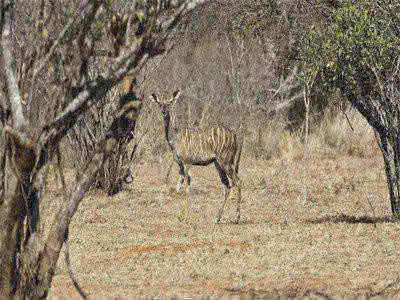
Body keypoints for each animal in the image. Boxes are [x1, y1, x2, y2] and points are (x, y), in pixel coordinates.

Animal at [151, 89, 242, 223]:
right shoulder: (180, 165)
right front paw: (180, 215)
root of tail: (235, 136)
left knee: (238, 181)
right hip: (218, 164)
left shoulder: (187, 163)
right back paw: (217, 218)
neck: (174, 138)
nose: (164, 111)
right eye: (159, 103)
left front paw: (185, 217)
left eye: (169, 103)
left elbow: (186, 188)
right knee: (227, 186)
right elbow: (178, 187)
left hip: (225, 162)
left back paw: (237, 218)